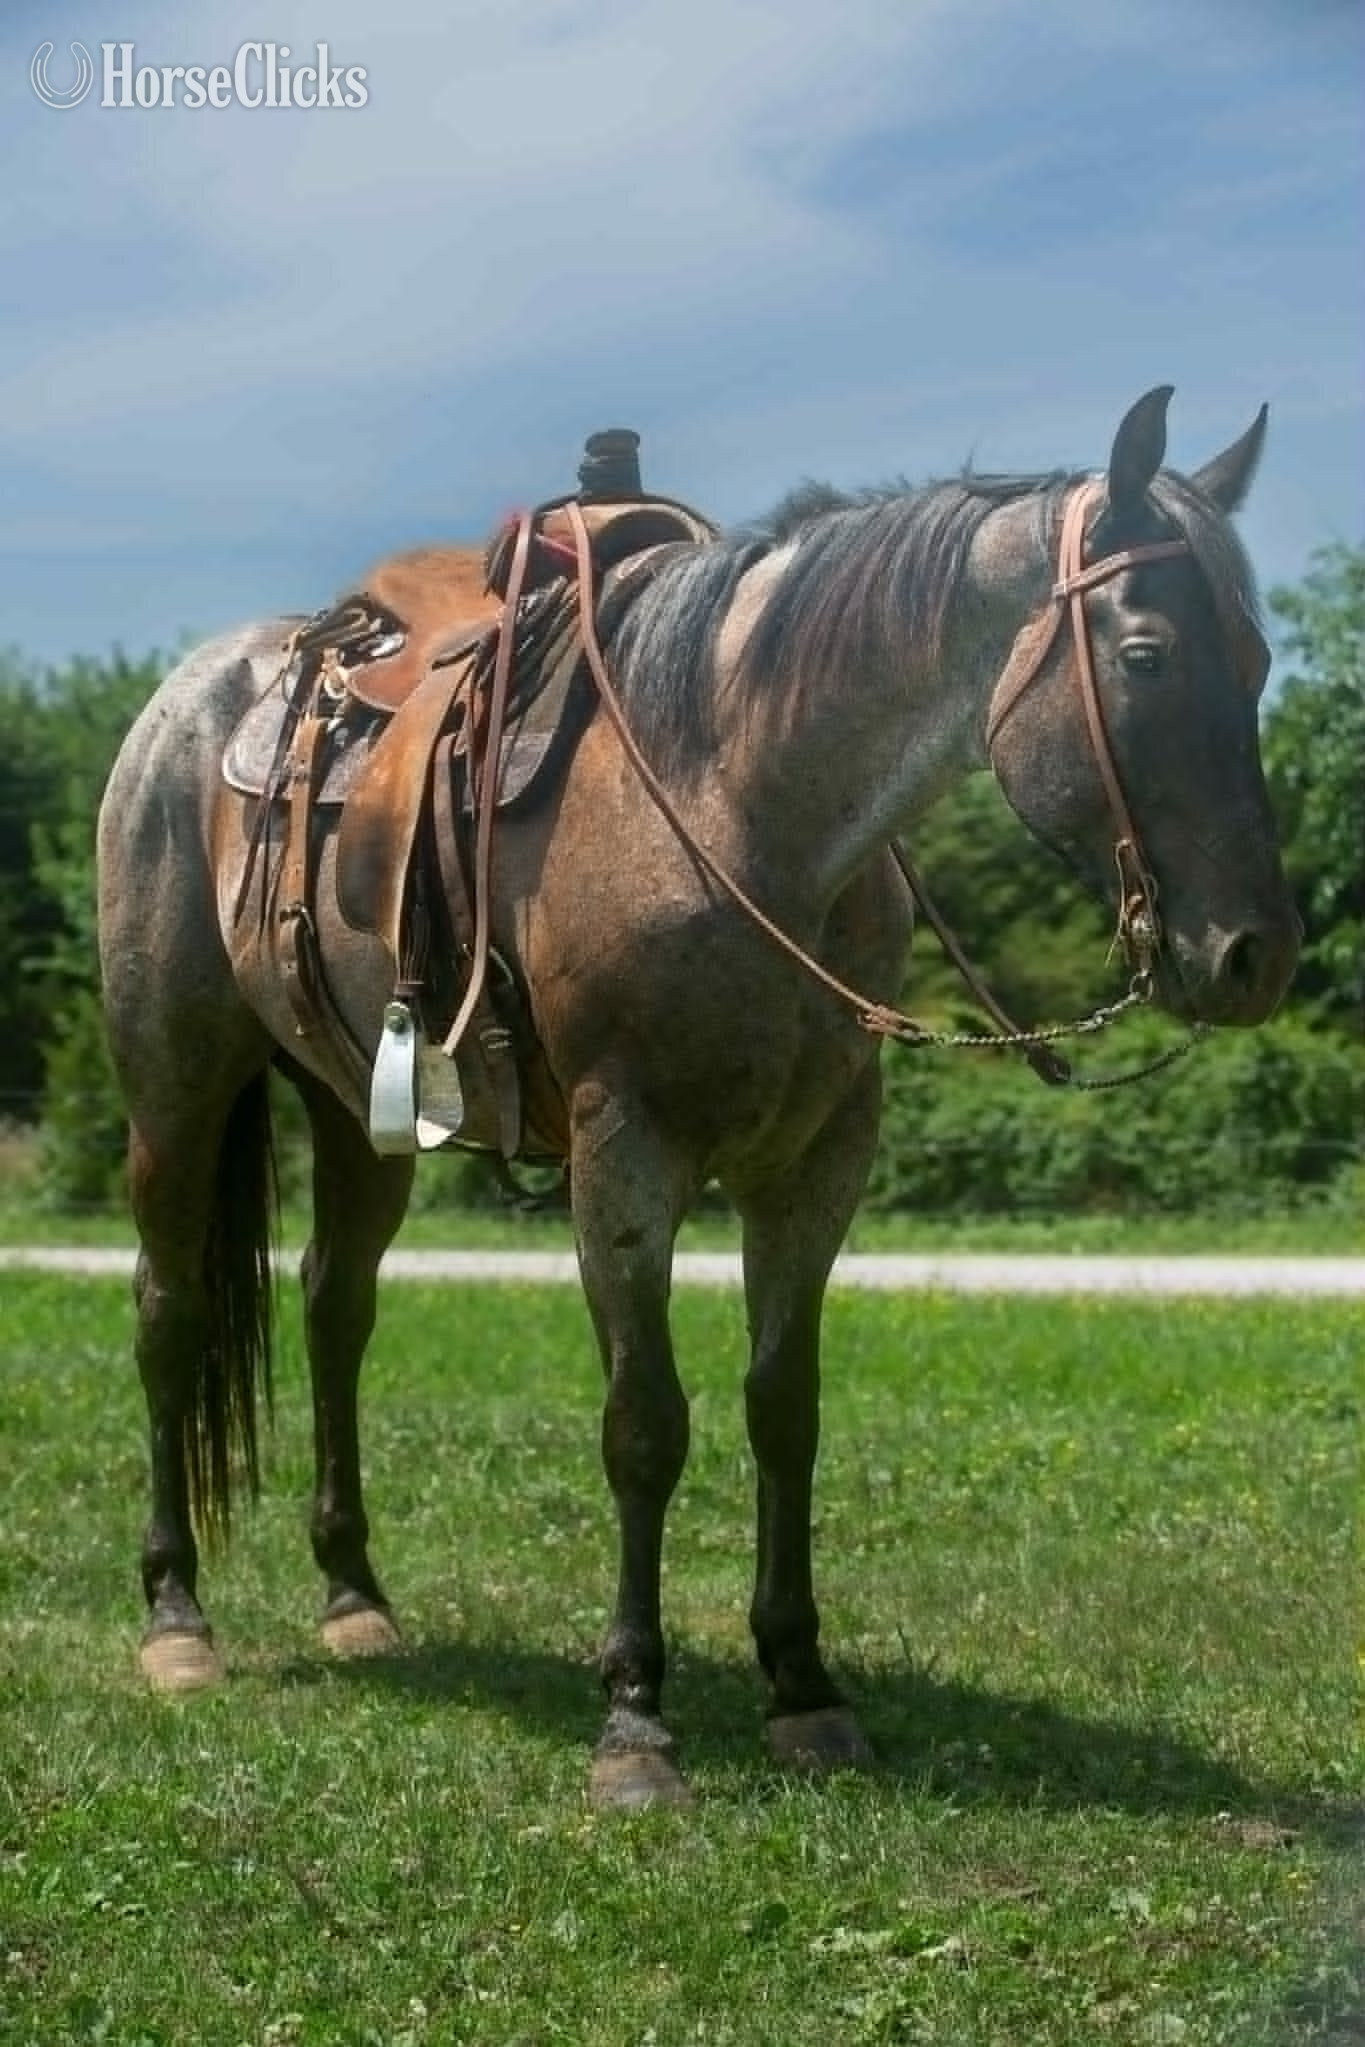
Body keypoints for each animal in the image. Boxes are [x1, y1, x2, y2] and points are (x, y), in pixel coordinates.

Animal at [96, 387, 1299, 1807]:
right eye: (1151, 654)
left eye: (1258, 661)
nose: (1254, 954)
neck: (737, 801)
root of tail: (191, 698)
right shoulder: (626, 1156)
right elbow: (645, 1425)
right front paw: (634, 1717)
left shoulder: (818, 1162)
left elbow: (785, 1408)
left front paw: (803, 1686)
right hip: (173, 1085)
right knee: (169, 1314)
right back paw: (177, 1619)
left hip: (357, 1107)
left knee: (339, 1312)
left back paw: (355, 1596)